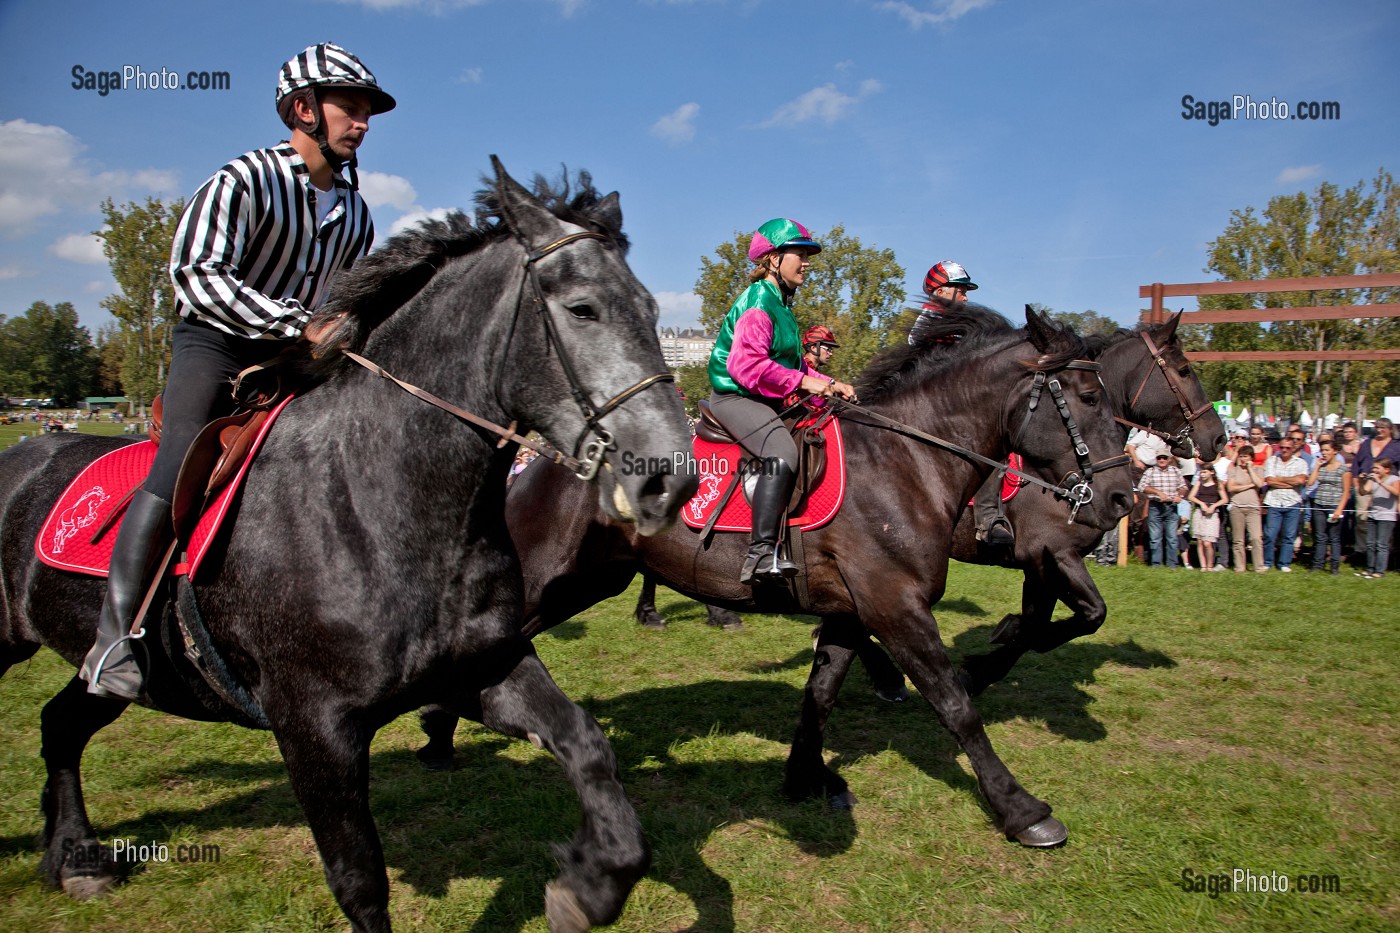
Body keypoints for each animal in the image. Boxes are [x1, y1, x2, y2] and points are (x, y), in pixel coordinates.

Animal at [0, 160, 697, 933]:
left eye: (652, 309)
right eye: (582, 309)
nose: (671, 477)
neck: (373, 504)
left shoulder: (482, 667)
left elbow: (589, 749)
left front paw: (588, 884)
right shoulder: (314, 728)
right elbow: (360, 879)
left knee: (60, 724)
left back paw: (76, 857)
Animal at [419, 306, 1136, 847]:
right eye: (1089, 397)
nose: (1122, 498)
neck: (906, 462)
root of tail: (544, 457)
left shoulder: (852, 612)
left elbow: (819, 694)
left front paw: (804, 777)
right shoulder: (898, 608)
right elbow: (956, 705)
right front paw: (1021, 808)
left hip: (587, 582)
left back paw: (440, 729)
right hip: (550, 578)